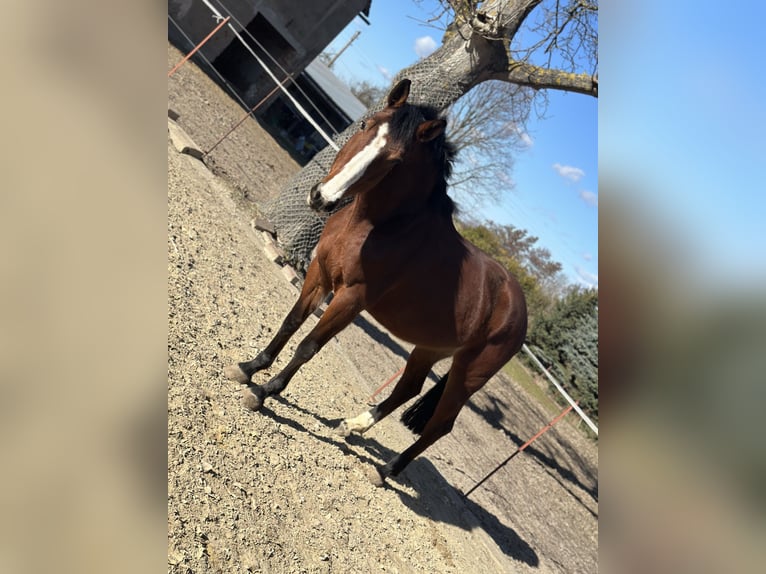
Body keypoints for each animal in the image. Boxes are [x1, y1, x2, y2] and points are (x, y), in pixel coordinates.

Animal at [225, 79, 527, 486]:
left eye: (396, 161)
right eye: (365, 124)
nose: (322, 197)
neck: (379, 228)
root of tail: (518, 308)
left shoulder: (350, 299)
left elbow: (308, 346)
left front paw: (263, 392)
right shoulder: (320, 275)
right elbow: (290, 324)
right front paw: (247, 368)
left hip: (468, 374)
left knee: (440, 425)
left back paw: (385, 471)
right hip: (429, 349)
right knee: (407, 388)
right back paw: (352, 426)